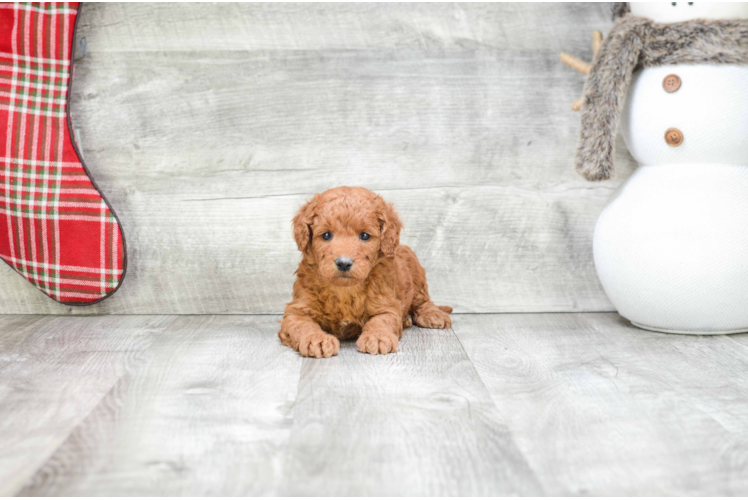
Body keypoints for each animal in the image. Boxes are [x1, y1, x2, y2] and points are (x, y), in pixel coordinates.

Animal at [280, 186, 450, 358]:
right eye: (326, 235)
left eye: (364, 235)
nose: (344, 263)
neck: (344, 290)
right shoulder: (298, 309)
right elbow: (302, 324)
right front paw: (316, 339)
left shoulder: (386, 305)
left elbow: (380, 320)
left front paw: (377, 337)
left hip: (415, 271)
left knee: (422, 301)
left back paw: (433, 315)